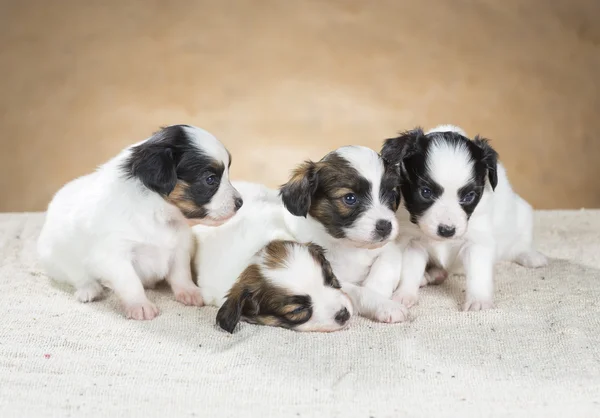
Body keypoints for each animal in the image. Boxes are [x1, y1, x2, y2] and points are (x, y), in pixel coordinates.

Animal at [37, 124, 243, 320]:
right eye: (210, 179)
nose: (240, 203)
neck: (160, 215)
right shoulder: (114, 255)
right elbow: (130, 282)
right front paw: (140, 305)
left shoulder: (180, 247)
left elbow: (181, 273)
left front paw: (189, 292)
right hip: (58, 258)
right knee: (78, 276)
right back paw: (89, 290)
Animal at [278, 145, 410, 322]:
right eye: (350, 198)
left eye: (390, 194)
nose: (385, 226)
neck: (349, 245)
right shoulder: (332, 277)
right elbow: (360, 292)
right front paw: (385, 305)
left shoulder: (389, 249)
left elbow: (384, 270)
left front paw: (380, 295)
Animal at [382, 124, 548, 310]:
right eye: (426, 192)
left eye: (469, 196)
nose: (447, 231)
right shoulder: (414, 242)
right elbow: (410, 270)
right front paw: (404, 294)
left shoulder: (477, 242)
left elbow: (478, 272)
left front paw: (478, 301)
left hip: (523, 214)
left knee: (520, 244)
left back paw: (531, 256)